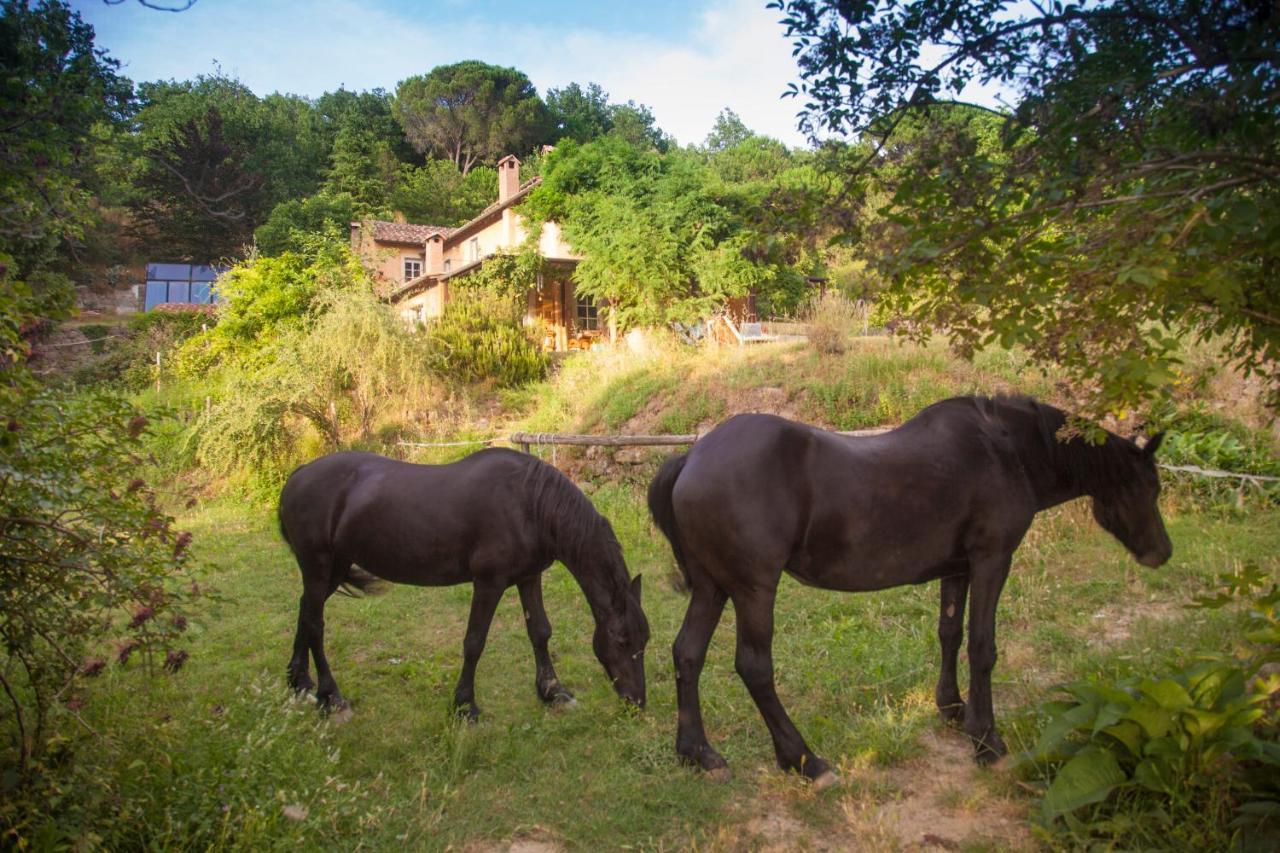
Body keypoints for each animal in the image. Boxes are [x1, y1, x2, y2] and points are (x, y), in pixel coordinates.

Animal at [275, 445, 645, 717]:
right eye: (622, 640)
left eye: (644, 639)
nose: (636, 702)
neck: (528, 503)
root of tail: (299, 474)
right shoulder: (489, 583)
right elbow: (474, 642)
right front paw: (465, 705)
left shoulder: (529, 577)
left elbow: (540, 631)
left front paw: (553, 691)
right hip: (319, 565)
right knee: (315, 625)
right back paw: (331, 696)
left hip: (334, 568)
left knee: (305, 612)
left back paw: (300, 682)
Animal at [650, 394, 1172, 778]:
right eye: (1147, 487)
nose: (1162, 552)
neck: (1004, 451)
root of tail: (692, 456)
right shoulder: (991, 561)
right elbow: (982, 647)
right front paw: (986, 739)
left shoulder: (958, 569)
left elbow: (950, 634)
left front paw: (953, 708)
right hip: (754, 590)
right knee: (754, 667)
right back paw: (804, 760)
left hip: (712, 587)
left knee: (688, 653)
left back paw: (698, 753)